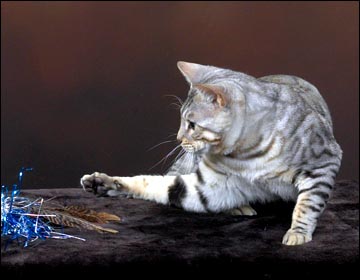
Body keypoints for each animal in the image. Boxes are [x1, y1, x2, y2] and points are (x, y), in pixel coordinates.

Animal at [80, 61, 342, 245]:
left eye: (191, 124)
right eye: (181, 120)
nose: (178, 138)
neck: (247, 156)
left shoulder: (324, 163)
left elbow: (308, 204)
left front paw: (298, 233)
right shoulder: (209, 185)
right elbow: (154, 184)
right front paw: (102, 182)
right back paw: (238, 206)